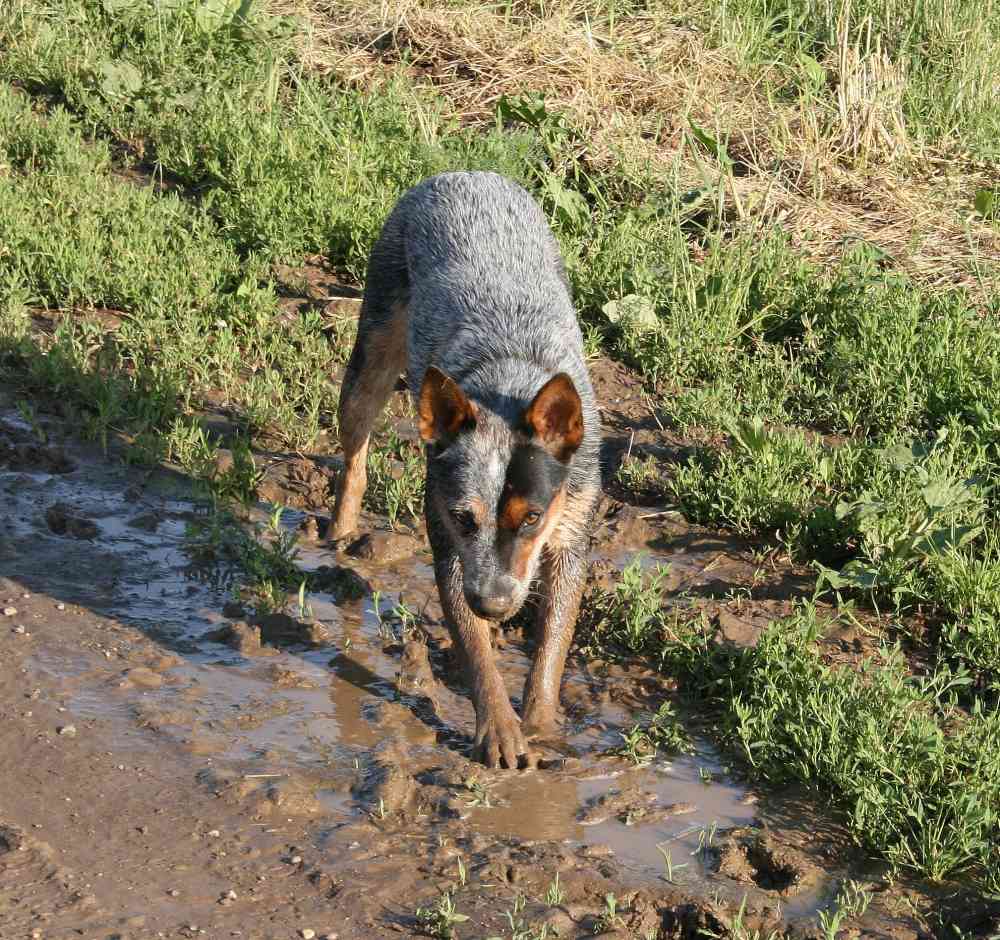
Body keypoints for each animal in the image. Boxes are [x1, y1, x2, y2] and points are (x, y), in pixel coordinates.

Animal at [330, 173, 600, 768]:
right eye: (464, 518)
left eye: (531, 519)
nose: (493, 604)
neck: (509, 379)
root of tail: (464, 173)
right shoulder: (450, 544)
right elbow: (474, 650)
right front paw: (499, 727)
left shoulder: (571, 528)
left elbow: (552, 646)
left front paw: (541, 723)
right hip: (372, 349)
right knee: (355, 445)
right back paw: (340, 527)